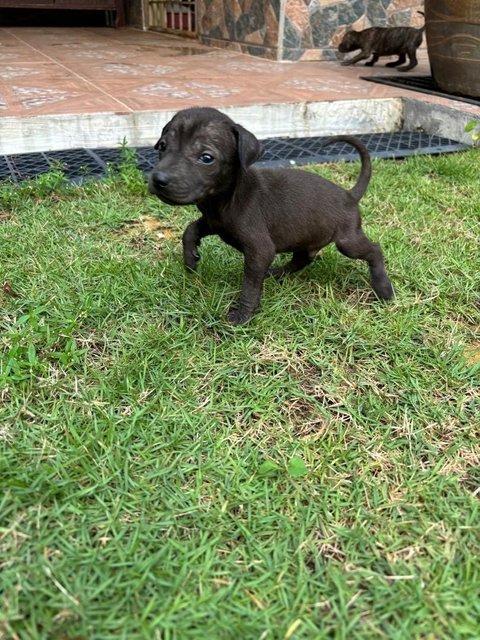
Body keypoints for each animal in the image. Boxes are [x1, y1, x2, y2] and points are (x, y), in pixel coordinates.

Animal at [150, 107, 394, 324]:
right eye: (162, 146)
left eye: (206, 157)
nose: (158, 180)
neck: (226, 197)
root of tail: (349, 195)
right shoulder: (214, 222)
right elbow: (190, 230)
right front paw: (190, 259)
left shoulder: (259, 250)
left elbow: (249, 287)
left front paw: (242, 316)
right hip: (306, 238)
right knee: (302, 259)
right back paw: (277, 272)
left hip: (347, 241)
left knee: (374, 250)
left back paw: (384, 289)